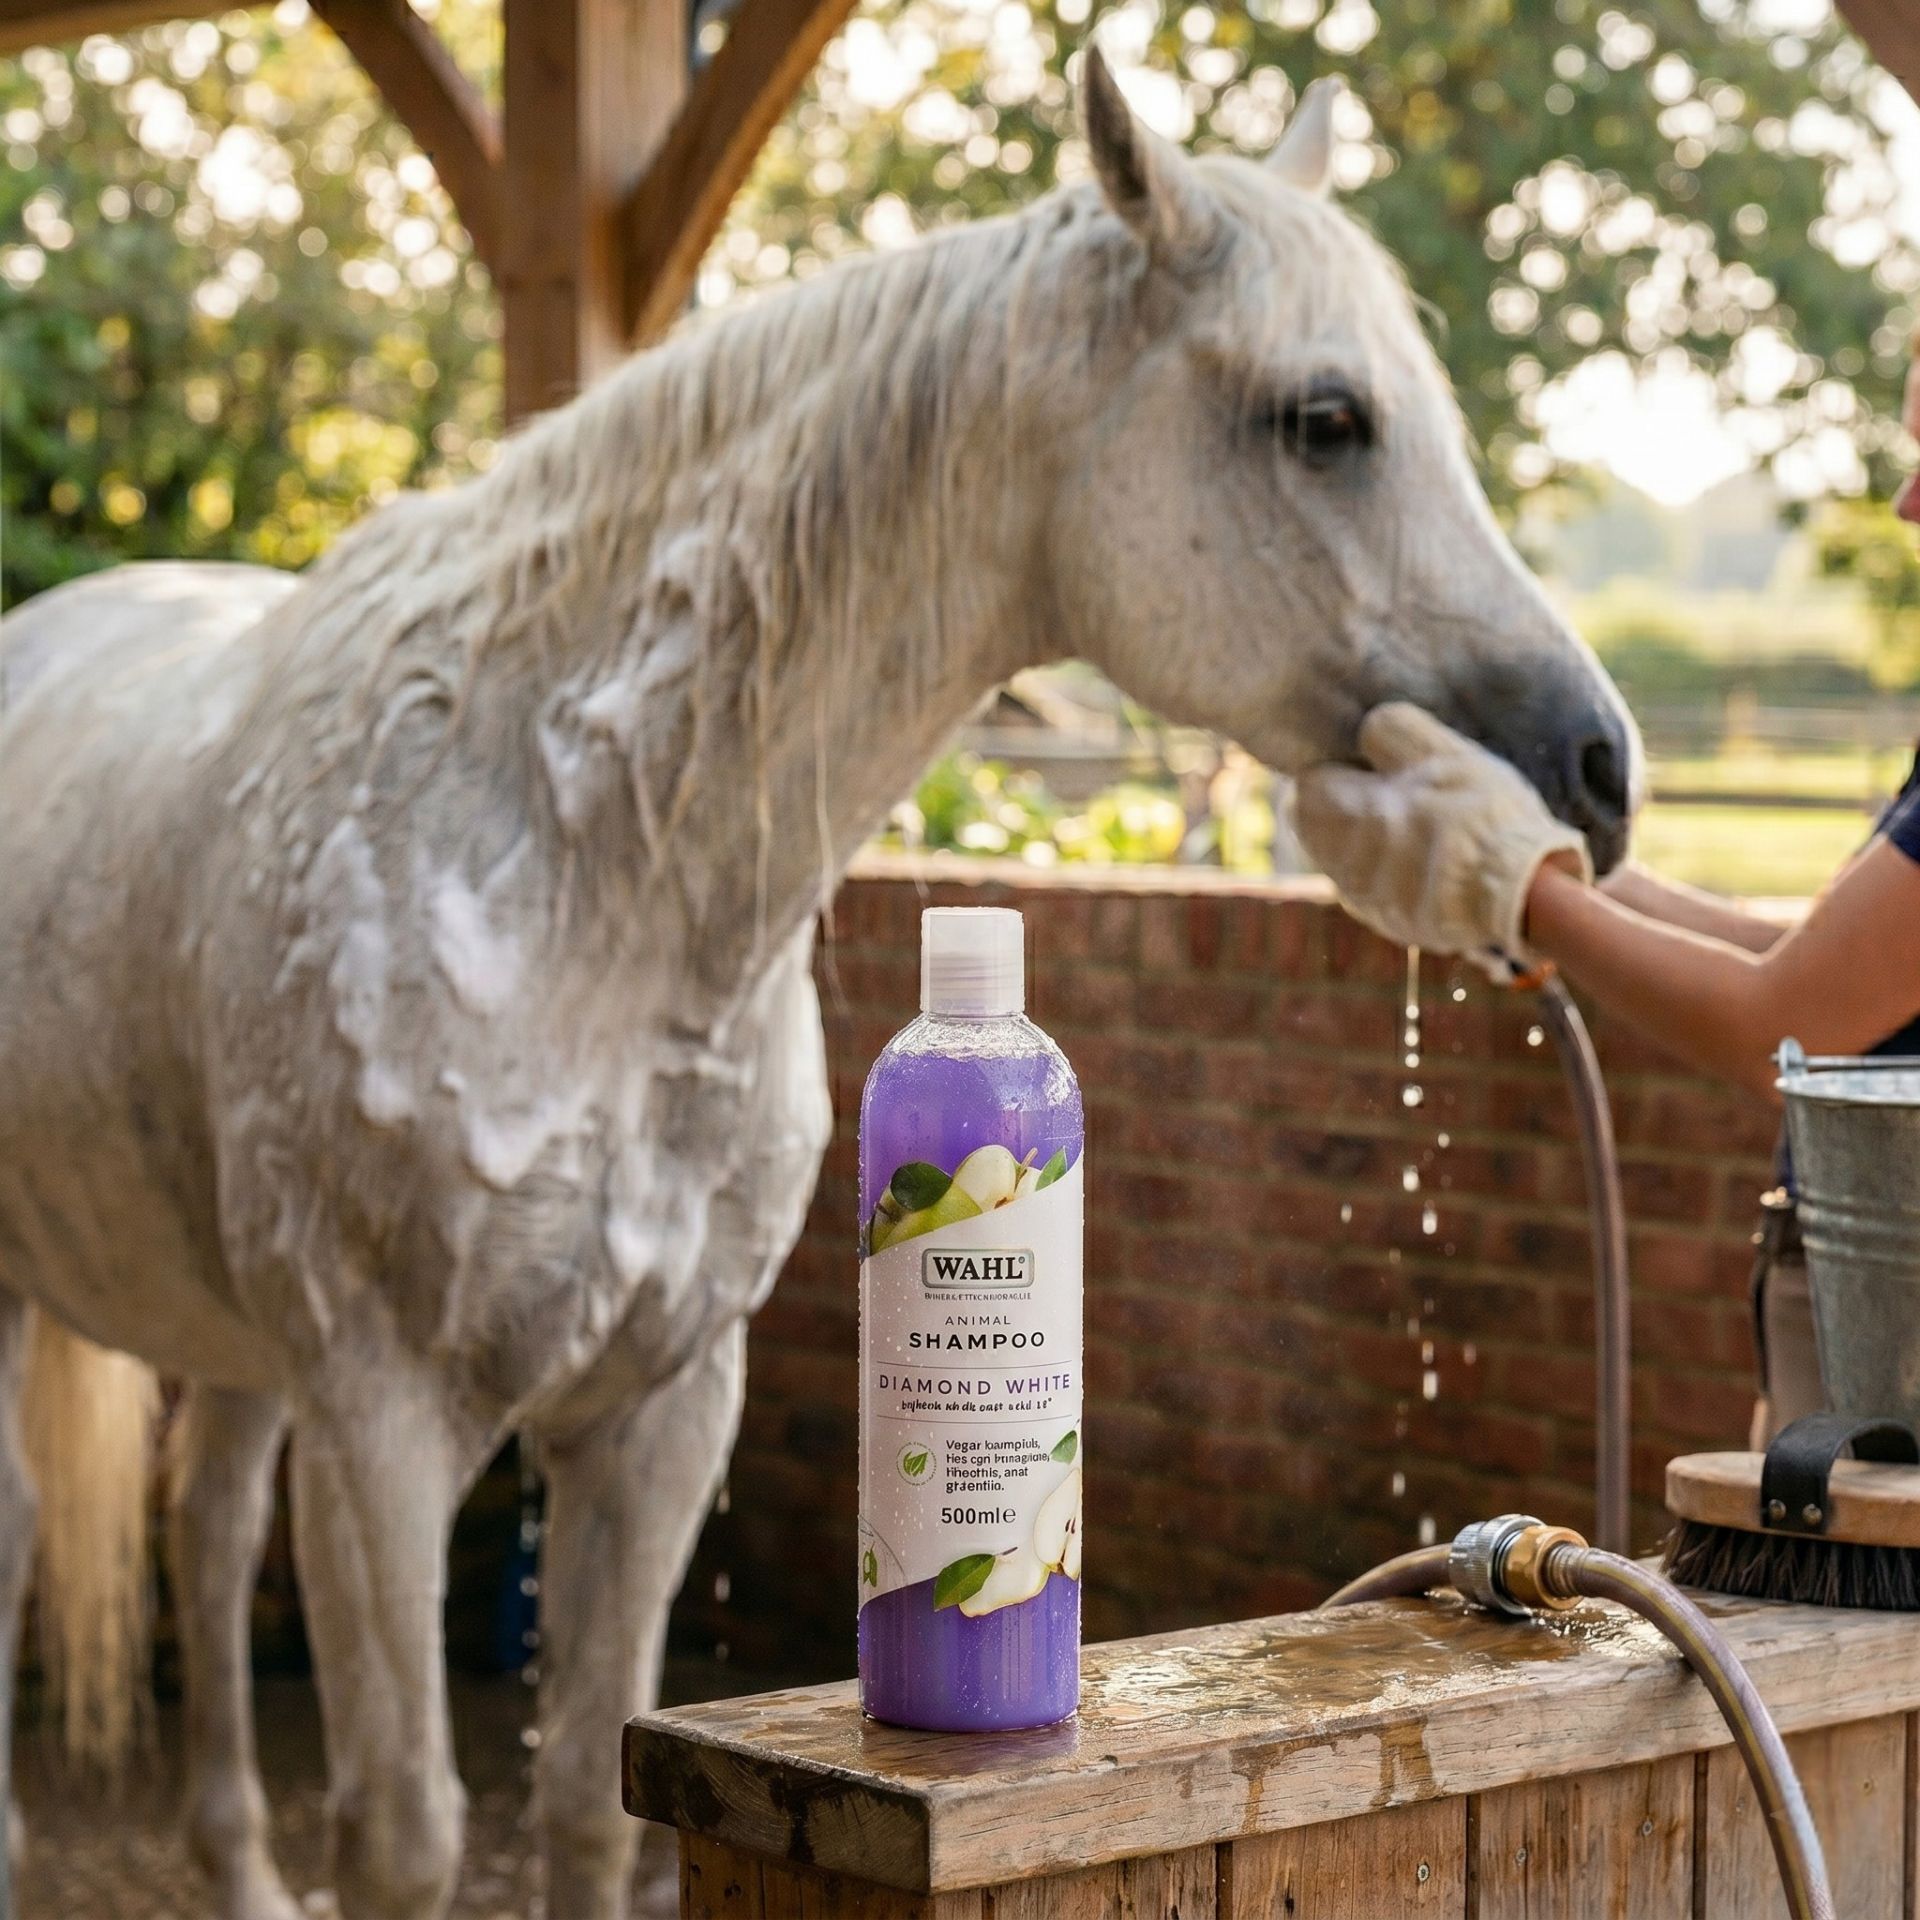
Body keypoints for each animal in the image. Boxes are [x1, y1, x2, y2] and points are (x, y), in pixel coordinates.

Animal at [0, 49, 1636, 1920]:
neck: (572, 859)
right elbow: (408, 1829)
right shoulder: (380, 1419)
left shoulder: (657, 1410)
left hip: (241, 1342)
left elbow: (585, 1806)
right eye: (1327, 419)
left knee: (197, 1537)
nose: (1599, 775)